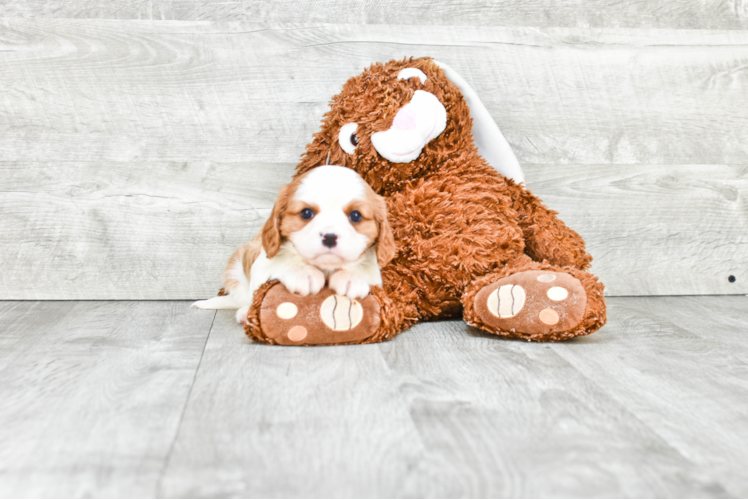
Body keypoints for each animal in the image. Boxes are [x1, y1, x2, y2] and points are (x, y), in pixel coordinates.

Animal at [193, 165, 394, 324]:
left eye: (356, 216)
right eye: (306, 213)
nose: (329, 237)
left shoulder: (375, 274)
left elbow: (363, 267)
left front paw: (351, 277)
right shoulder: (262, 261)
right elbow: (285, 258)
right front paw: (303, 273)